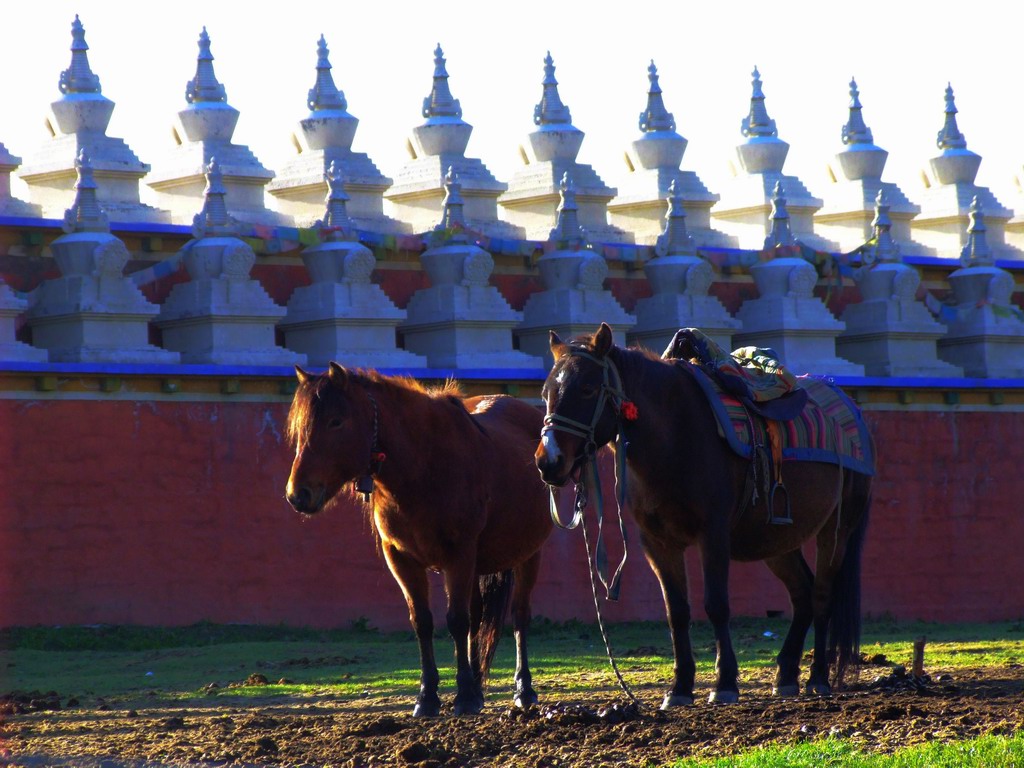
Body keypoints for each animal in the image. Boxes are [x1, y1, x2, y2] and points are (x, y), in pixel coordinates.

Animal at [284, 364, 557, 720]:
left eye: (336, 421)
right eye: (300, 427)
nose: (298, 494)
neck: (423, 467)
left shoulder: (459, 555)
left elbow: (456, 621)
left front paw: (464, 697)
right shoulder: (401, 559)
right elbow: (423, 622)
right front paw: (428, 698)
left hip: (527, 554)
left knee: (519, 615)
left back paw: (523, 690)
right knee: (476, 616)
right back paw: (477, 686)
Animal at [536, 325, 872, 708]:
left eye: (588, 389)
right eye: (546, 393)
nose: (548, 461)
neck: (675, 435)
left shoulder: (713, 535)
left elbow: (716, 605)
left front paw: (724, 683)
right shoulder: (658, 543)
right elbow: (677, 611)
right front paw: (680, 687)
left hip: (837, 530)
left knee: (821, 596)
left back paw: (817, 677)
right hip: (778, 541)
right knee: (802, 593)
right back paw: (786, 675)